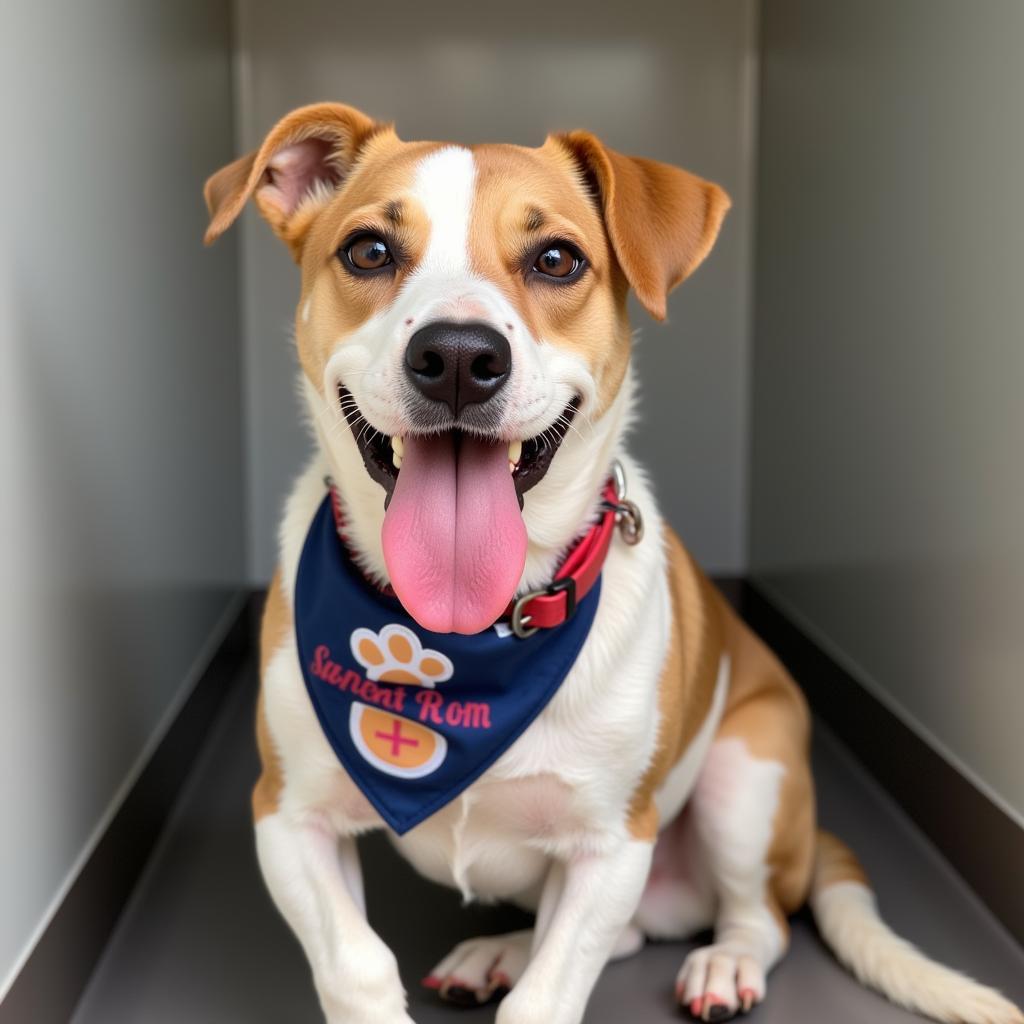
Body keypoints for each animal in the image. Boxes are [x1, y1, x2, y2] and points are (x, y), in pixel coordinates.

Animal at [201, 103, 1024, 1024]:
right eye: (369, 251)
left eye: (557, 259)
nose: (459, 357)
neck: (464, 634)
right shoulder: (288, 813)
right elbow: (356, 966)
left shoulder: (611, 844)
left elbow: (548, 994)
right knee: (626, 934)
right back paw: (499, 951)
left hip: (748, 773)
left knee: (759, 919)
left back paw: (722, 965)